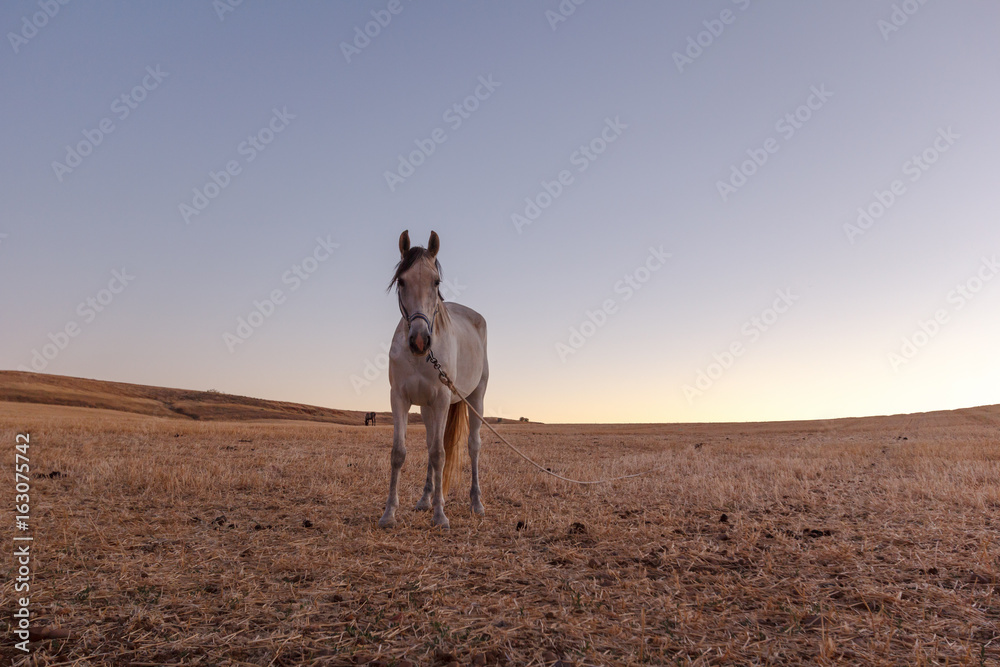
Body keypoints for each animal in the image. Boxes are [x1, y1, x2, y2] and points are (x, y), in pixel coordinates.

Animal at [379, 230, 489, 529]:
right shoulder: (401, 399)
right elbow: (399, 452)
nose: (419, 340)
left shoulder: (441, 400)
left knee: (473, 447)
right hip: (427, 408)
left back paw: (476, 502)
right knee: (431, 444)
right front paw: (389, 513)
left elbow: (440, 455)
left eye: (436, 281)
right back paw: (425, 498)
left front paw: (440, 515)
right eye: (402, 281)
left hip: (475, 398)